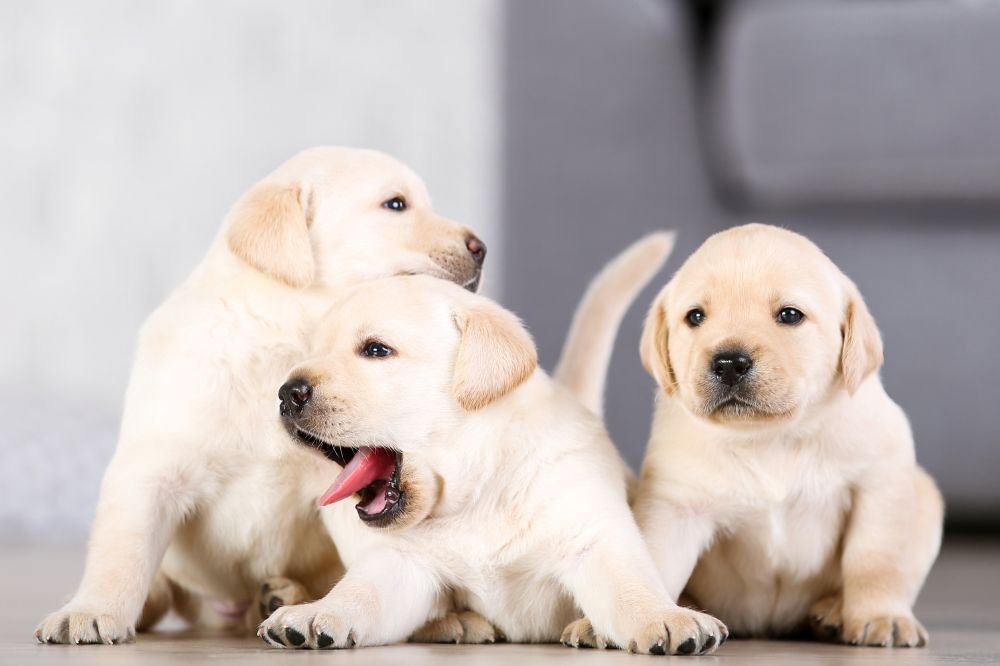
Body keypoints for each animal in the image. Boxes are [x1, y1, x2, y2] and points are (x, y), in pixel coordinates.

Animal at [38, 147, 488, 644]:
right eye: (395, 204)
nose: (481, 248)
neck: (289, 335)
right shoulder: (152, 467)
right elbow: (122, 553)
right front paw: (92, 609)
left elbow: (378, 562)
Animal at [256, 272, 728, 652]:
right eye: (311, 352)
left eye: (375, 350)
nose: (287, 392)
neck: (478, 489)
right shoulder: (401, 562)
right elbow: (359, 593)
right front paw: (315, 612)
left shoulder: (593, 537)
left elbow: (630, 588)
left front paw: (665, 617)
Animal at [616, 223, 944, 644]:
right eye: (695, 316)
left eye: (789, 315)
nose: (728, 362)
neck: (770, 436)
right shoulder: (675, 504)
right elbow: (654, 558)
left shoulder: (880, 481)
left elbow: (875, 561)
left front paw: (881, 615)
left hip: (926, 496)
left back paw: (833, 611)